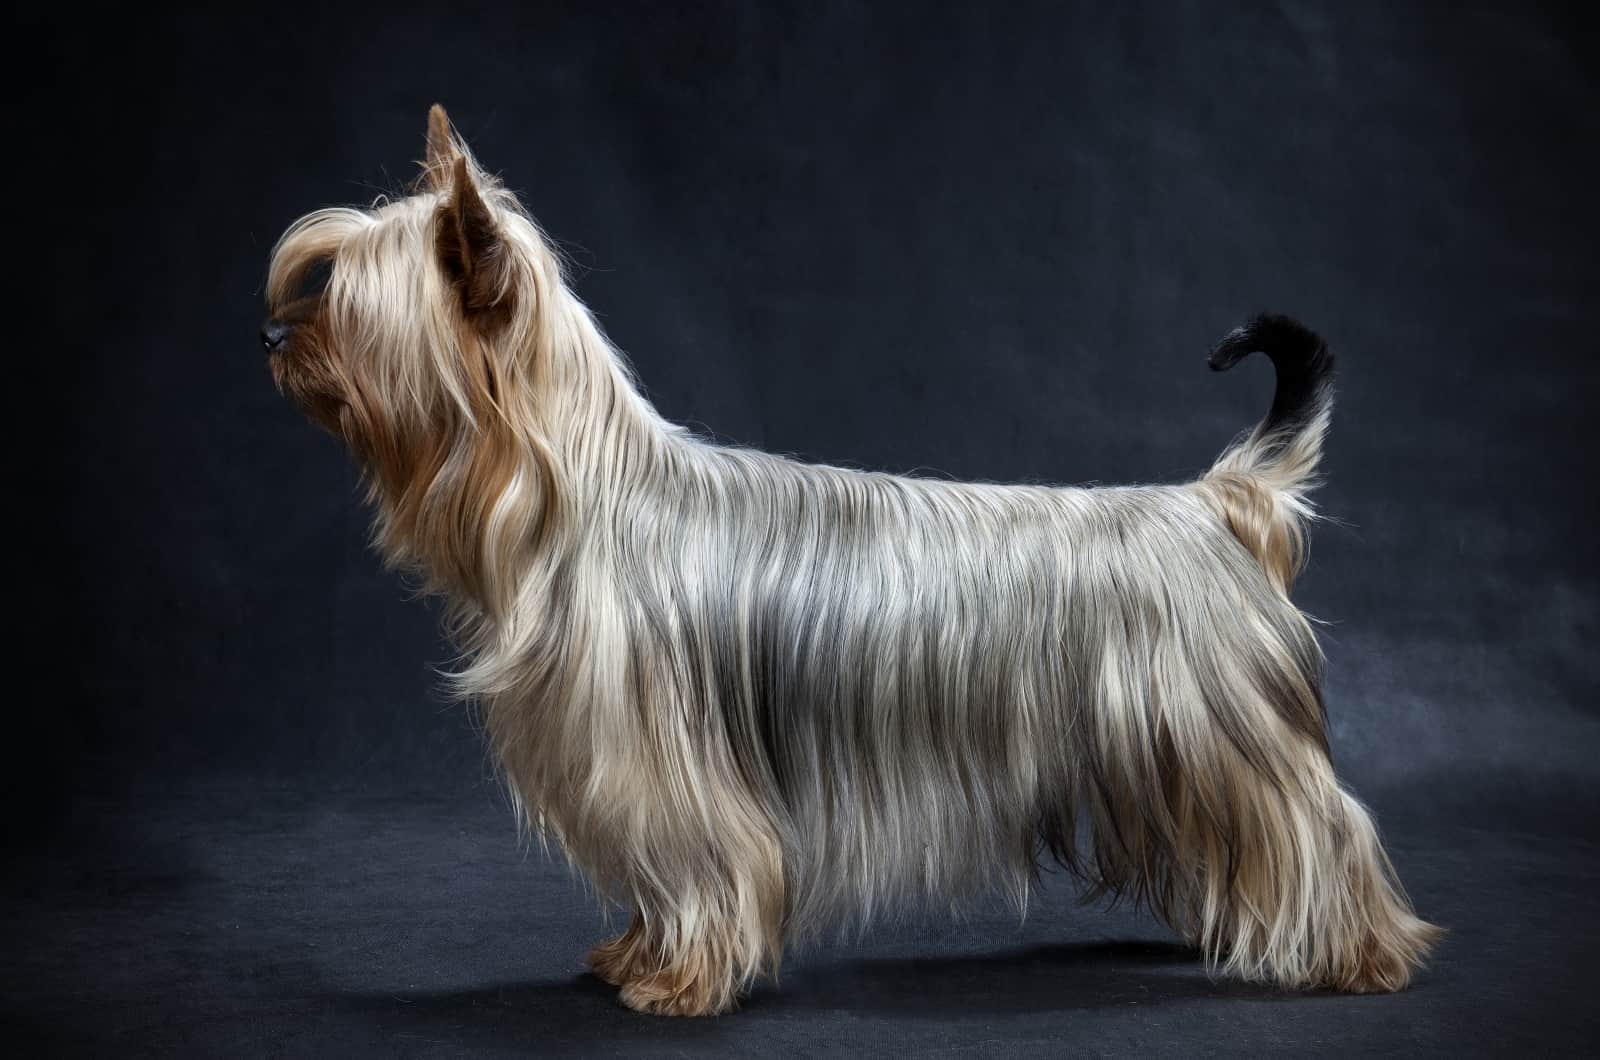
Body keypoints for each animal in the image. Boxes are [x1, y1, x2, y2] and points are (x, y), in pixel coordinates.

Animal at [262, 108, 1440, 1024]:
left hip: (1222, 728)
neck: (574, 499)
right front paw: (638, 955)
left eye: (348, 307)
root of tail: (1215, 502)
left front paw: (679, 980)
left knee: (1324, 827)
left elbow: (701, 862)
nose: (274, 339)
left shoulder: (666, 763)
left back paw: (1363, 954)